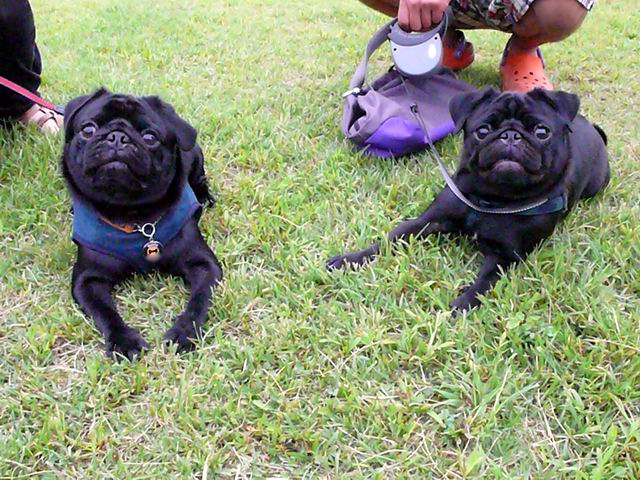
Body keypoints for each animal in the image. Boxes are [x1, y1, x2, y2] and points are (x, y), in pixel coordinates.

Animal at [62, 88, 223, 359]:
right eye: (88, 129)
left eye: (150, 137)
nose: (117, 137)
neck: (134, 216)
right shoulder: (88, 280)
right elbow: (106, 312)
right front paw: (123, 341)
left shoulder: (204, 265)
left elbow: (199, 300)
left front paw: (184, 332)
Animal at [327, 88, 610, 312]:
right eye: (482, 131)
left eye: (542, 132)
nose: (510, 135)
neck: (492, 199)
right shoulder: (429, 221)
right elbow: (391, 239)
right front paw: (350, 259)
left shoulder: (506, 256)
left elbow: (485, 281)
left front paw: (463, 303)